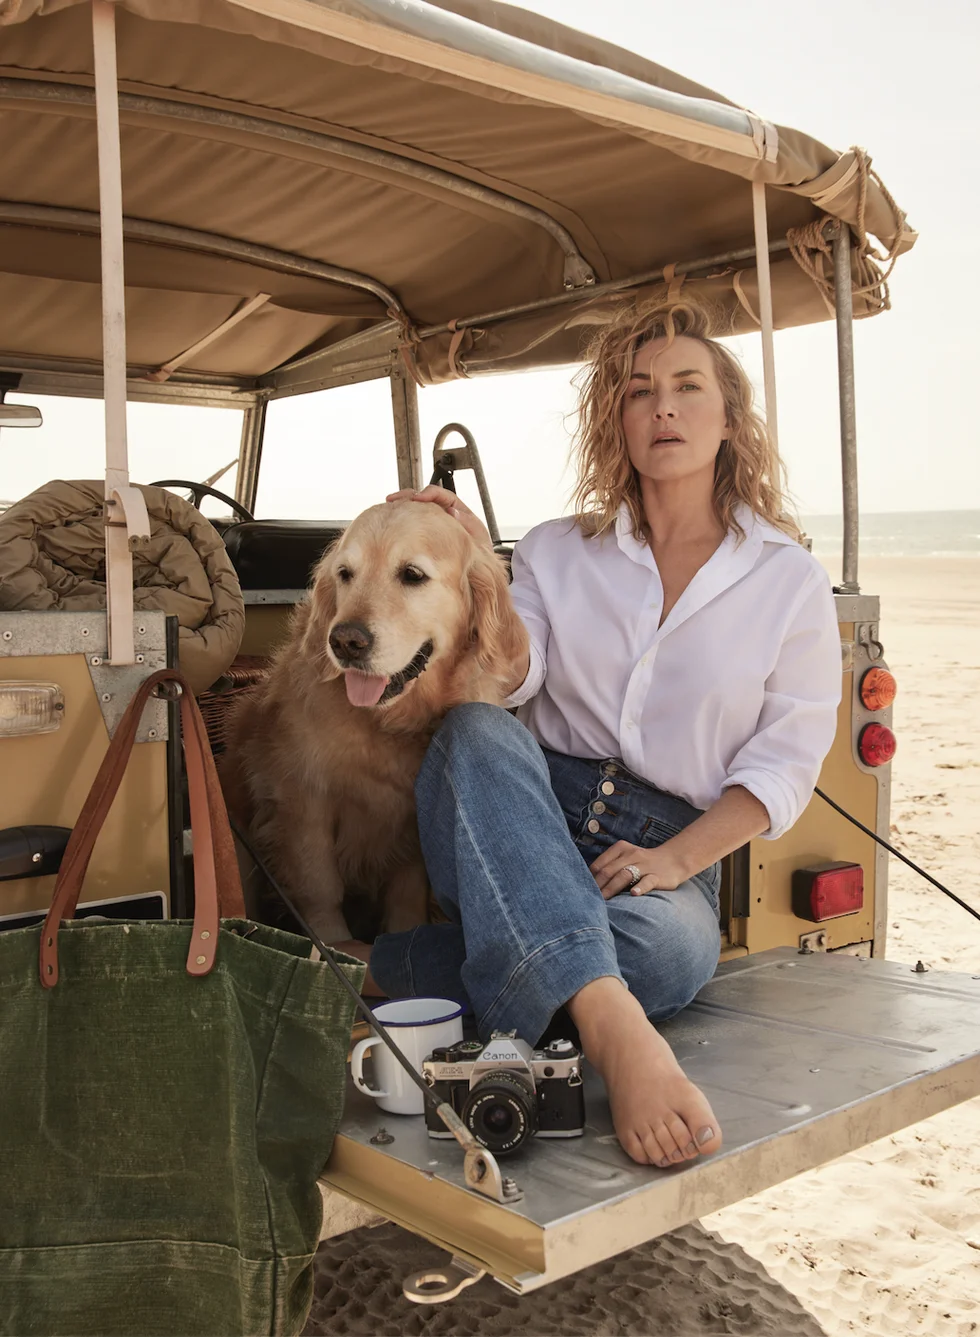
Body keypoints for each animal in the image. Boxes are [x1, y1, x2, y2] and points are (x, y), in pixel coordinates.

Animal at [220, 497, 526, 946]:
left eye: (412, 574)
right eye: (345, 574)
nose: (345, 641)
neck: (388, 724)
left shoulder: (410, 827)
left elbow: (407, 895)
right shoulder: (303, 802)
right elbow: (319, 886)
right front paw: (335, 945)